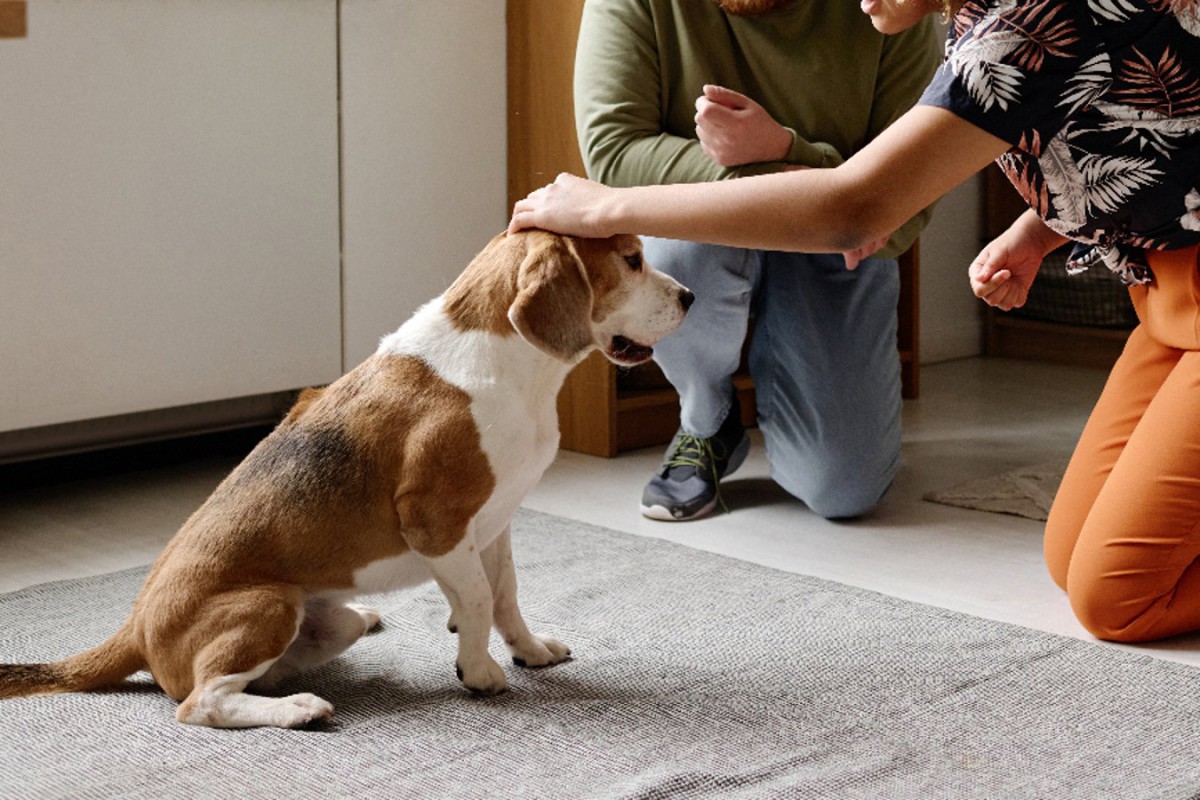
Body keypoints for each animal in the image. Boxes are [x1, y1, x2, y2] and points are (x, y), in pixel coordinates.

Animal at [0, 231, 696, 734]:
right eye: (632, 260)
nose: (689, 296)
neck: (508, 363)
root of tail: (136, 626)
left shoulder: (496, 520)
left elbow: (504, 597)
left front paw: (528, 650)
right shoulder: (438, 524)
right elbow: (475, 599)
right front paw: (479, 670)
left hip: (327, 623)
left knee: (291, 657)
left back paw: (341, 638)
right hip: (268, 604)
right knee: (202, 703)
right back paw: (297, 710)